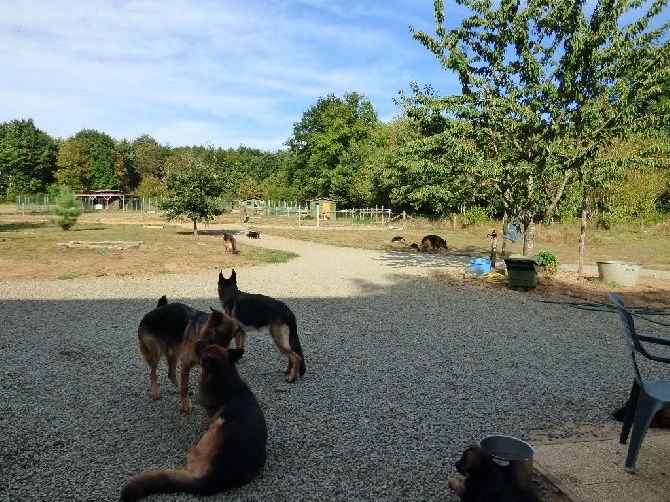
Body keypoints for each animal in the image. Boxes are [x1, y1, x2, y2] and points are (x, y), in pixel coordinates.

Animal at [122, 342, 270, 502]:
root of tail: (215, 477)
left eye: (202, 350)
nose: (198, 342)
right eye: (209, 345)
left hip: (217, 424)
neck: (224, 375)